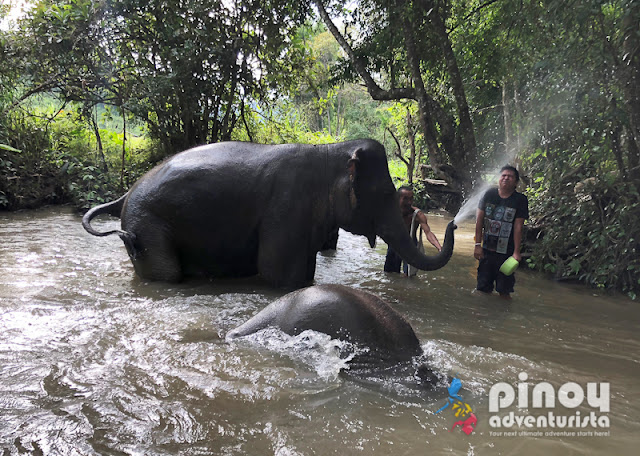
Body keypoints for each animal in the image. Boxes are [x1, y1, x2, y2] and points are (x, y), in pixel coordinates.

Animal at [84, 139, 456, 288]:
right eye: (384, 194)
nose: (452, 222)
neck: (330, 152)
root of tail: (127, 192)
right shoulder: (287, 207)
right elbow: (278, 273)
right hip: (146, 226)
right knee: (166, 274)